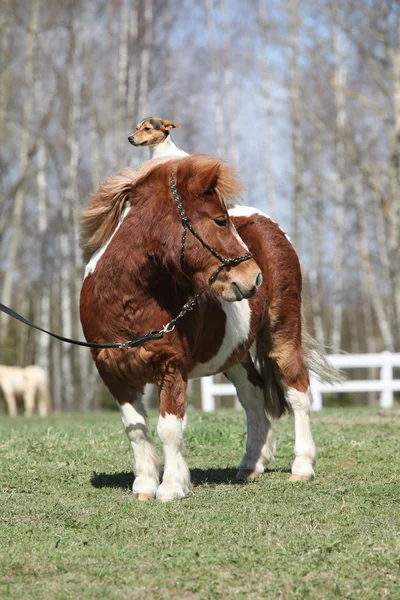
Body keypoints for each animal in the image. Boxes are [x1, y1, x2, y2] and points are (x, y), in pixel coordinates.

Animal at [79, 152, 330, 500]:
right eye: (220, 221)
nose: (254, 278)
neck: (127, 302)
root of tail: (268, 224)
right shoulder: (113, 372)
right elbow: (136, 430)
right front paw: (144, 486)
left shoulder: (171, 366)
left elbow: (169, 428)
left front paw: (172, 487)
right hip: (234, 354)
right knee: (252, 395)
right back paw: (251, 464)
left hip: (282, 333)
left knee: (298, 392)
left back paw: (302, 467)